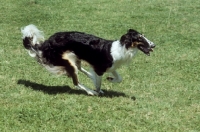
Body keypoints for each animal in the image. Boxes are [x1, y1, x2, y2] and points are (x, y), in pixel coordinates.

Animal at [20, 24, 155, 95]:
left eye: (144, 36)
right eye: (140, 38)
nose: (154, 45)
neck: (123, 47)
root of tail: (45, 44)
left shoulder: (110, 67)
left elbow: (119, 78)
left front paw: (110, 79)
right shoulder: (100, 69)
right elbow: (99, 84)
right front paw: (98, 91)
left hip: (75, 57)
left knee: (80, 69)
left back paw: (90, 76)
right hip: (68, 61)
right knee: (76, 81)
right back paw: (90, 91)